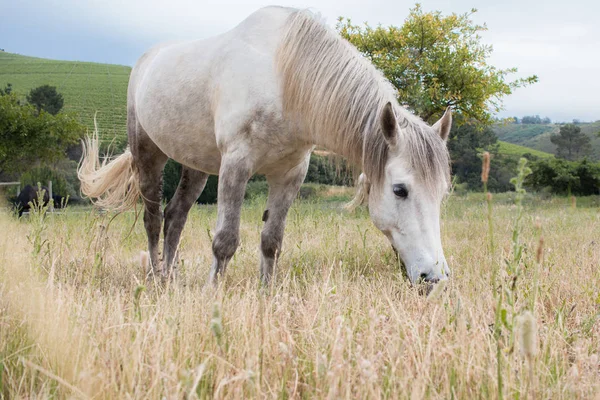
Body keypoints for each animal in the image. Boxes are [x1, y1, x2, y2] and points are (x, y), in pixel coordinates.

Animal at [81, 7, 454, 288]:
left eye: (442, 194)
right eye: (400, 190)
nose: (434, 277)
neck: (284, 78)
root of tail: (147, 60)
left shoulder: (290, 175)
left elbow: (271, 241)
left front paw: (266, 294)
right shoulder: (236, 165)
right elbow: (225, 241)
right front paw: (213, 295)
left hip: (197, 167)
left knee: (176, 216)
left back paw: (171, 278)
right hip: (147, 154)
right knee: (153, 219)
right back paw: (156, 280)